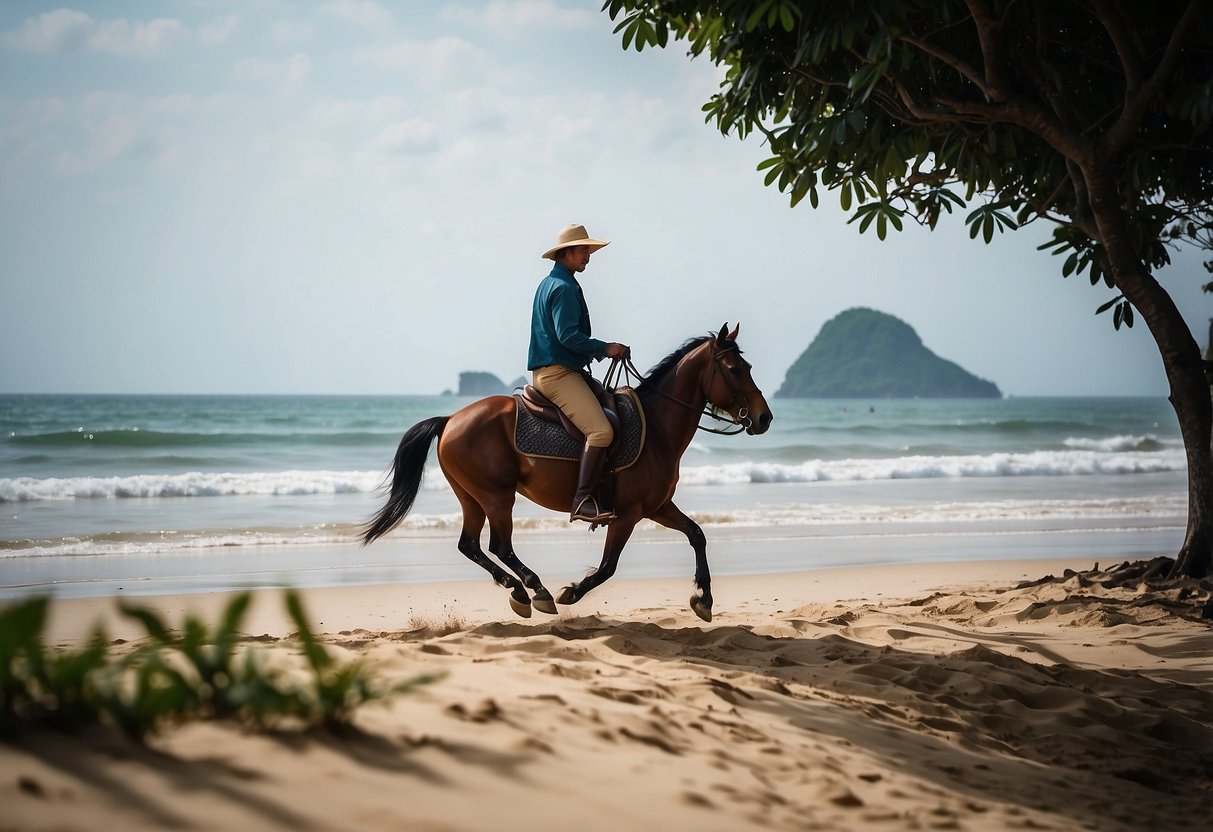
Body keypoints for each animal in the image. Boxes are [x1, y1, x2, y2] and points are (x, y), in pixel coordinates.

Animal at [363, 322, 771, 620]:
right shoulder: (628, 514)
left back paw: (520, 589)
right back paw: (533, 590)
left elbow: (697, 535)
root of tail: (449, 420)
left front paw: (704, 599)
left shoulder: (656, 507)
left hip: (472, 496)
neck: (657, 428)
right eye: (735, 369)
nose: (764, 418)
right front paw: (571, 592)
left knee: (471, 545)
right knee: (499, 545)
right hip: (496, 496)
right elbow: (607, 567)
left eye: (748, 367)